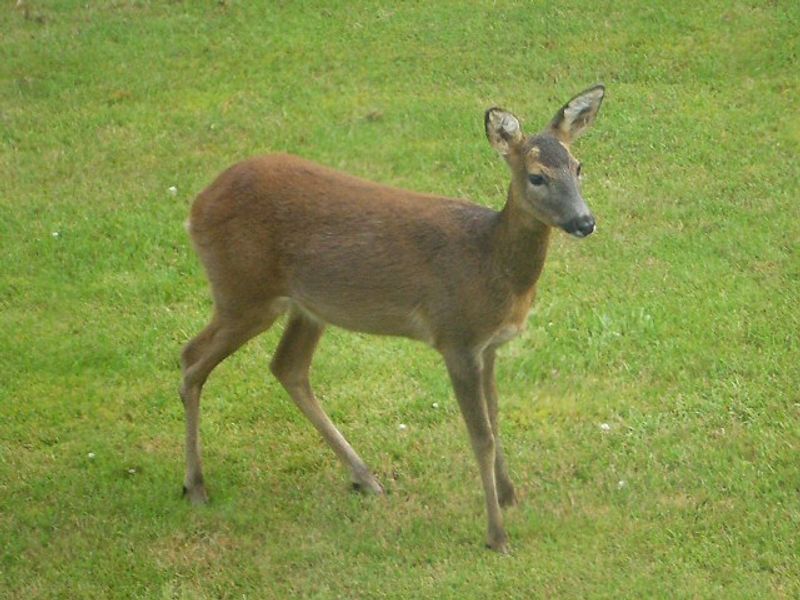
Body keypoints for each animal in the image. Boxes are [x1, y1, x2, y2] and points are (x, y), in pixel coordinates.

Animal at [179, 85, 606, 553]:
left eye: (578, 166)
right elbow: (480, 436)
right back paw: (196, 486)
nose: (584, 221)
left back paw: (365, 478)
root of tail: (196, 207)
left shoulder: (490, 345)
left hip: (306, 307)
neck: (489, 262)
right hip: (243, 292)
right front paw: (497, 536)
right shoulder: (455, 337)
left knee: (286, 366)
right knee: (191, 358)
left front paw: (510, 495)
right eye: (537, 177)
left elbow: (496, 418)